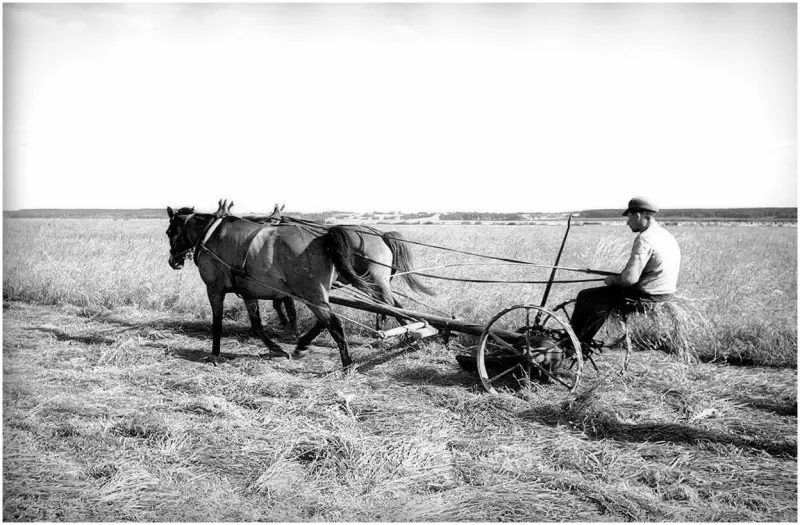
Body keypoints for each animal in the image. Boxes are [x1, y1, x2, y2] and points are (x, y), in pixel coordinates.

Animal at [166, 200, 376, 368]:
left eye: (169, 232)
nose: (173, 261)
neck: (210, 234)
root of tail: (323, 239)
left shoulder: (214, 289)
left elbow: (217, 323)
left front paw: (215, 354)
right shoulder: (247, 292)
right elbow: (257, 324)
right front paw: (277, 349)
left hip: (312, 295)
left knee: (334, 324)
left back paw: (346, 363)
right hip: (316, 296)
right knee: (324, 322)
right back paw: (305, 345)